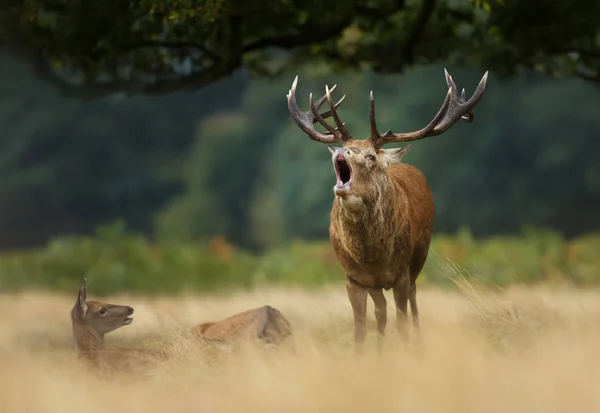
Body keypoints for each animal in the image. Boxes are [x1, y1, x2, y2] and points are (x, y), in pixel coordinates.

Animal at [286, 68, 488, 350]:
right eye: (346, 148)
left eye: (370, 155)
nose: (341, 151)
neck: (373, 258)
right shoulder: (354, 278)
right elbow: (362, 328)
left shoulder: (400, 272)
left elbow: (401, 321)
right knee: (381, 314)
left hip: (420, 253)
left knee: (412, 299)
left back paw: (418, 343)